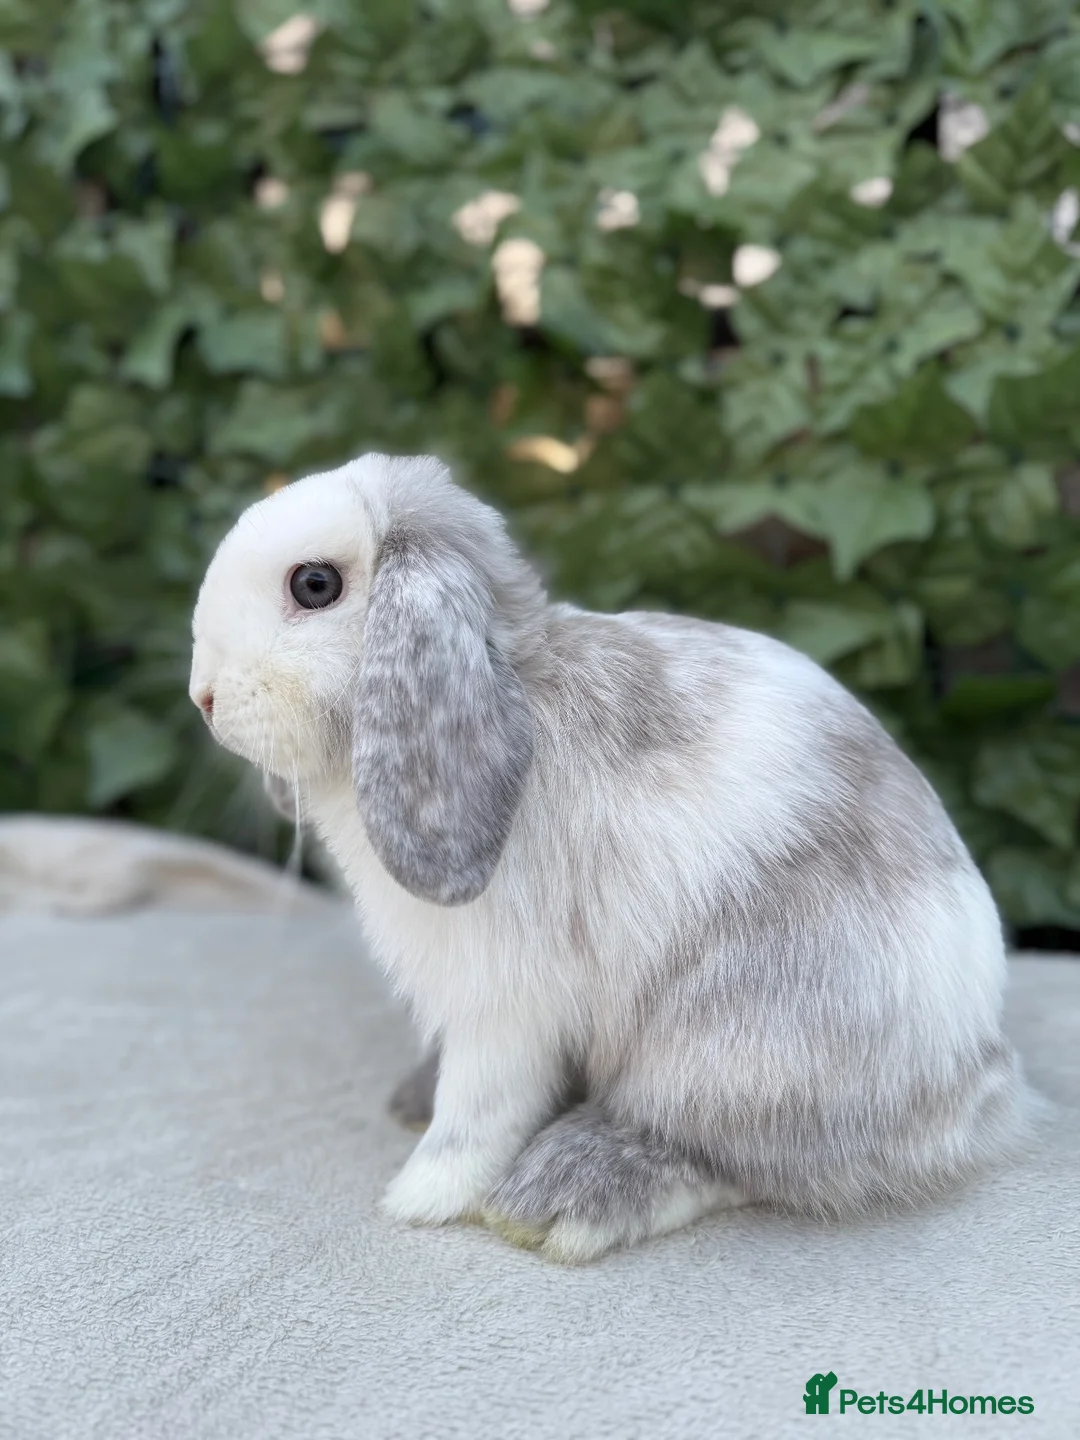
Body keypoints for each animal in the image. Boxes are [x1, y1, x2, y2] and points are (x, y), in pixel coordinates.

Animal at [189, 452, 1028, 1263]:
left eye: (316, 585)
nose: (203, 699)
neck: (518, 684)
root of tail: (977, 1080)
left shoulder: (506, 1000)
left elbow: (480, 1107)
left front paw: (421, 1195)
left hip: (732, 1047)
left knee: (736, 1160)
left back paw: (566, 1197)